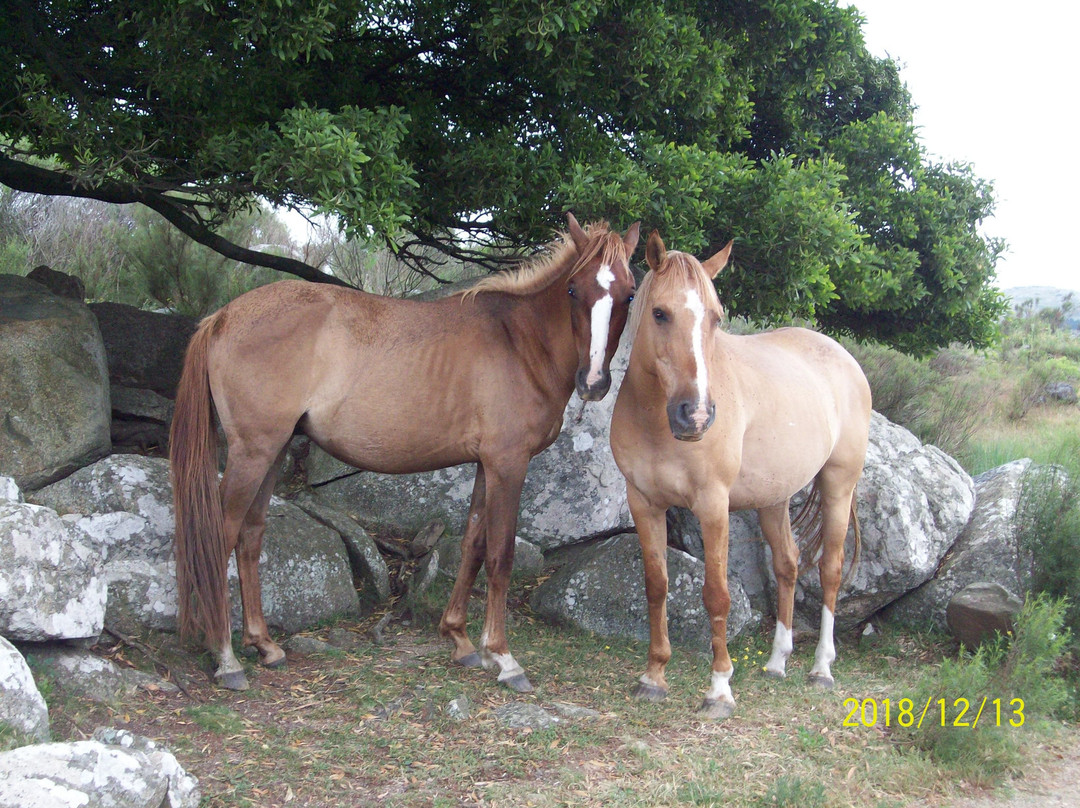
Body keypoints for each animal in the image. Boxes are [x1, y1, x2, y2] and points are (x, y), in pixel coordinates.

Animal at [171, 211, 635, 691]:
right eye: (573, 289)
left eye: (629, 293)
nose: (594, 382)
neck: (518, 340)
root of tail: (222, 317)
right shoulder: (509, 464)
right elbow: (500, 555)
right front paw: (503, 657)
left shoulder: (486, 465)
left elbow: (473, 544)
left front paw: (460, 639)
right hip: (253, 453)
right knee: (221, 535)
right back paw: (226, 657)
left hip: (273, 451)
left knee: (250, 535)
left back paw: (264, 645)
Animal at [613, 232, 872, 721]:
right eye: (660, 313)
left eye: (716, 318)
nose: (695, 415)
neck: (656, 421)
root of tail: (845, 359)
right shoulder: (644, 503)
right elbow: (656, 586)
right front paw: (653, 677)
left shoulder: (713, 505)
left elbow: (717, 595)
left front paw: (719, 689)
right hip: (774, 499)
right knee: (788, 564)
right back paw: (777, 662)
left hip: (839, 485)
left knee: (829, 570)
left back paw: (821, 668)